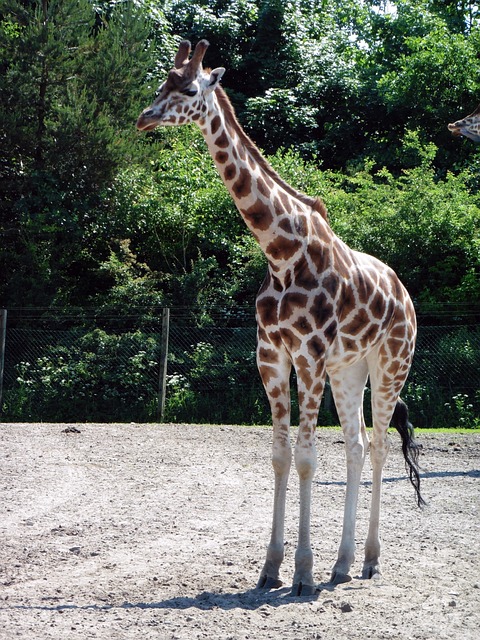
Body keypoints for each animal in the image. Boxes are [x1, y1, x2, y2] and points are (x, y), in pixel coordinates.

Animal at [136, 40, 424, 596]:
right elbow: (280, 456)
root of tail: (405, 294)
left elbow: (308, 458)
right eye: (161, 82)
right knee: (356, 446)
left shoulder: (308, 355)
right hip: (349, 369)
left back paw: (370, 560)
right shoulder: (271, 355)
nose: (145, 118)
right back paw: (343, 563)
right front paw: (271, 568)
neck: (279, 252)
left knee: (379, 446)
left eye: (188, 88)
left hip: (390, 364)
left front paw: (303, 573)